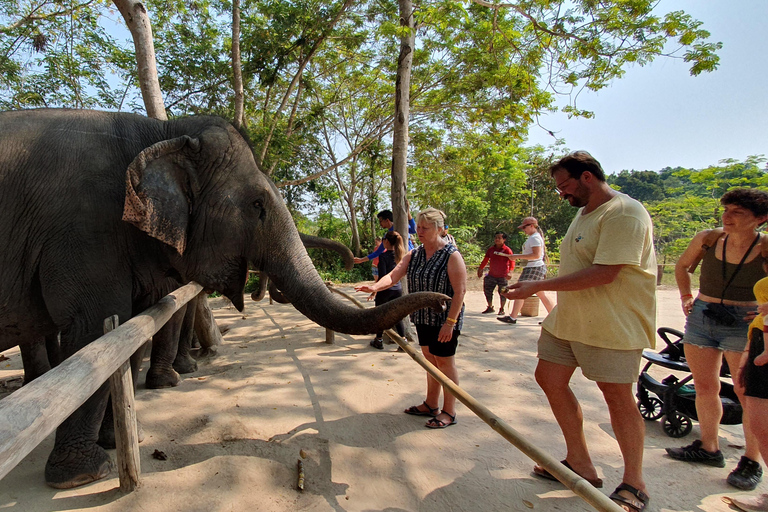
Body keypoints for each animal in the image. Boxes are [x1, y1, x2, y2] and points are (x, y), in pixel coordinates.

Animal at [0, 110, 448, 490]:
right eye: (257, 205)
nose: (443, 302)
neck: (159, 132)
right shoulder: (84, 231)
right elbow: (96, 331)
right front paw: (83, 475)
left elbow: (129, 332)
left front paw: (123, 438)